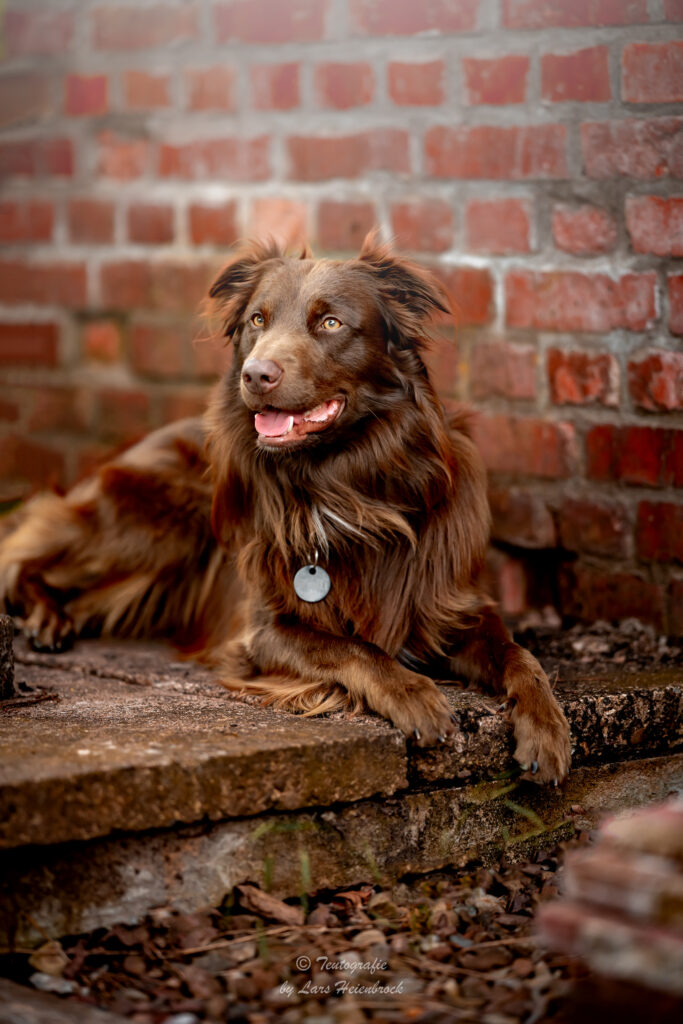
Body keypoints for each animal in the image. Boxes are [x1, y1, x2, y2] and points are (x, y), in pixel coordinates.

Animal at [0, 235, 573, 782]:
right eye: (258, 319)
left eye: (331, 322)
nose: (256, 376)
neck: (344, 488)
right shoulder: (263, 630)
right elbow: (353, 648)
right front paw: (414, 694)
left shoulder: (453, 604)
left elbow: (521, 657)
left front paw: (546, 728)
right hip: (154, 519)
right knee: (27, 557)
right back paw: (44, 618)